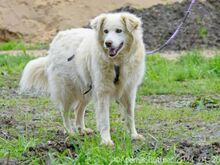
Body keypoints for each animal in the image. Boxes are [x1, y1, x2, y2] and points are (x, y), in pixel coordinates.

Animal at [19, 12, 146, 145]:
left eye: (119, 30)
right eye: (105, 31)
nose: (108, 43)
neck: (117, 63)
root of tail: (58, 38)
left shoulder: (129, 90)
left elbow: (130, 115)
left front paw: (134, 135)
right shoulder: (102, 92)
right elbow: (104, 120)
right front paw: (106, 141)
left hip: (87, 90)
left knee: (78, 109)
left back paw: (82, 130)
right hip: (67, 91)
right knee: (65, 112)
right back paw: (70, 132)